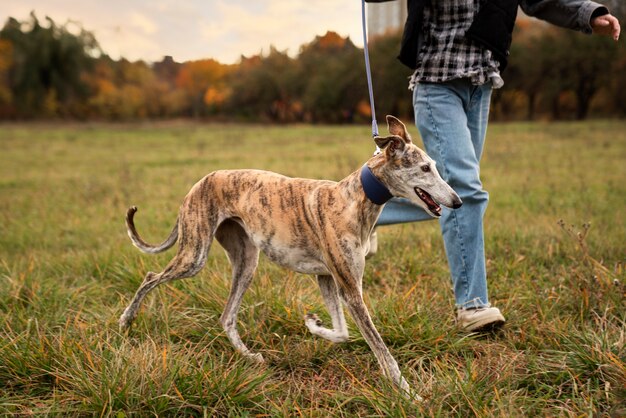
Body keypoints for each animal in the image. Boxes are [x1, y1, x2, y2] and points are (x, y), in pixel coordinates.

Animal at [118, 114, 458, 398]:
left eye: (433, 165)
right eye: (425, 168)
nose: (457, 201)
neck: (354, 198)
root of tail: (199, 183)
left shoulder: (327, 278)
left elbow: (342, 332)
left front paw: (313, 324)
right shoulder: (350, 289)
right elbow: (382, 352)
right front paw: (409, 395)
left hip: (246, 262)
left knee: (226, 316)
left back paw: (249, 356)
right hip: (194, 256)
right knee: (151, 276)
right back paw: (126, 320)